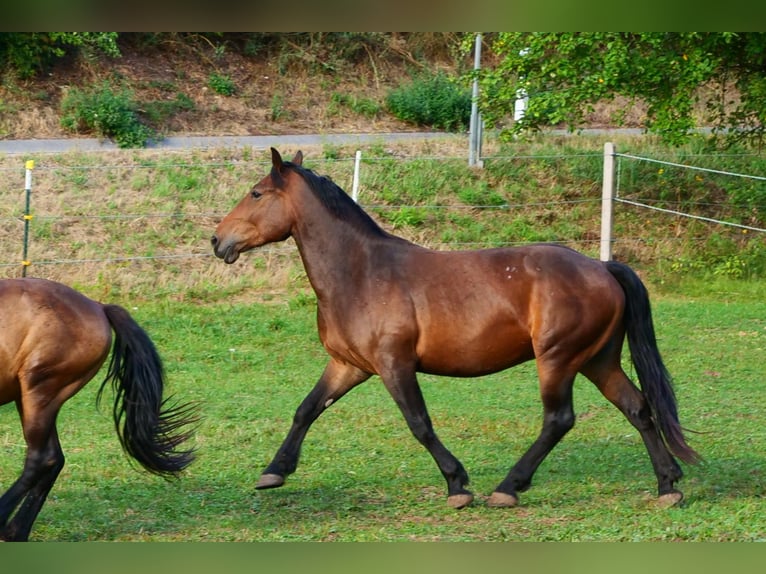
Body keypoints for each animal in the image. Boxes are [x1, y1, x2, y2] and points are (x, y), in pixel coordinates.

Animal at [0, 278, 198, 541]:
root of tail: (97, 306)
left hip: (39, 391)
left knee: (40, 459)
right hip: (37, 398)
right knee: (53, 458)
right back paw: (16, 532)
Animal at [211, 147, 699, 510]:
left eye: (256, 193)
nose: (217, 240)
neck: (361, 273)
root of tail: (601, 267)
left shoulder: (394, 365)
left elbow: (420, 424)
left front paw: (458, 485)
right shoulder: (348, 366)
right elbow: (306, 410)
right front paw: (274, 471)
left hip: (558, 358)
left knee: (559, 419)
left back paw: (508, 487)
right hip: (597, 360)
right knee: (637, 408)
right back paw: (667, 485)